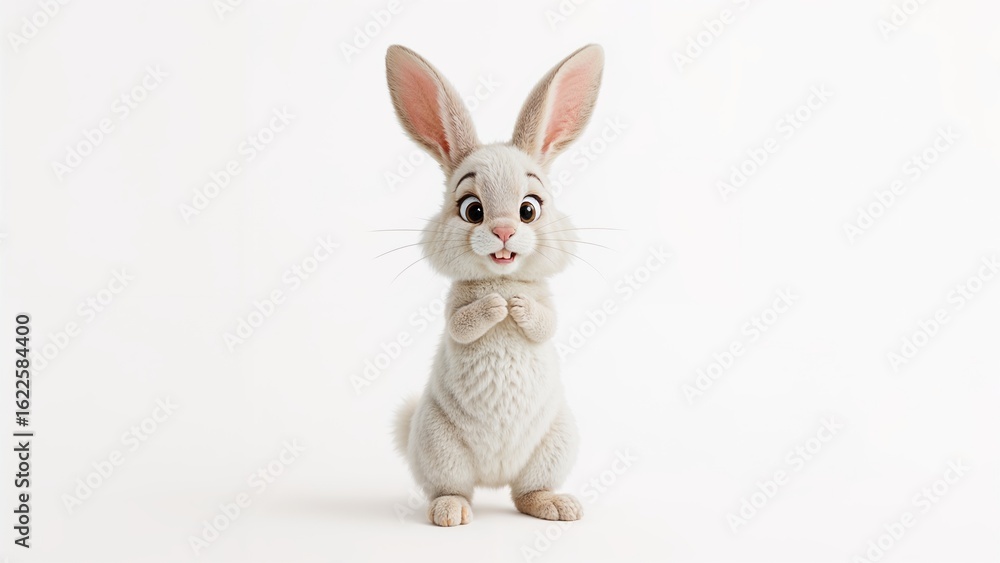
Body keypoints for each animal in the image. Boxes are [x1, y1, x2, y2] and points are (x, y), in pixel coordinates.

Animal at [385, 44, 604, 527]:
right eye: (472, 210)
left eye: (529, 209)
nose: (504, 232)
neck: (500, 279)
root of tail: (493, 477)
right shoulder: (453, 307)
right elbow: (462, 323)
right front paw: (496, 308)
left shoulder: (549, 305)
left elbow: (544, 323)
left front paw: (517, 305)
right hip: (439, 446)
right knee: (450, 488)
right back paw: (451, 511)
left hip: (554, 444)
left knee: (526, 493)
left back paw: (555, 505)